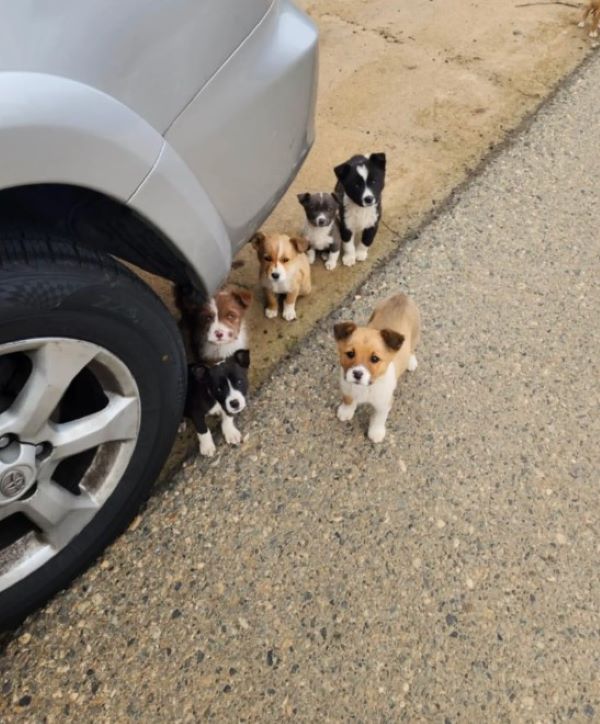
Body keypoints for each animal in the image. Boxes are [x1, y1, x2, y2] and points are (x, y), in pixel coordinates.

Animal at [332, 292, 422, 442]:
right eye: (350, 354)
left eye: (374, 359)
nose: (357, 374)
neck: (366, 388)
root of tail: (401, 296)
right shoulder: (346, 387)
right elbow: (348, 399)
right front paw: (346, 411)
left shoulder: (384, 404)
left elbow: (379, 419)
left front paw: (376, 432)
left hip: (415, 335)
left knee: (412, 348)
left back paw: (411, 361)